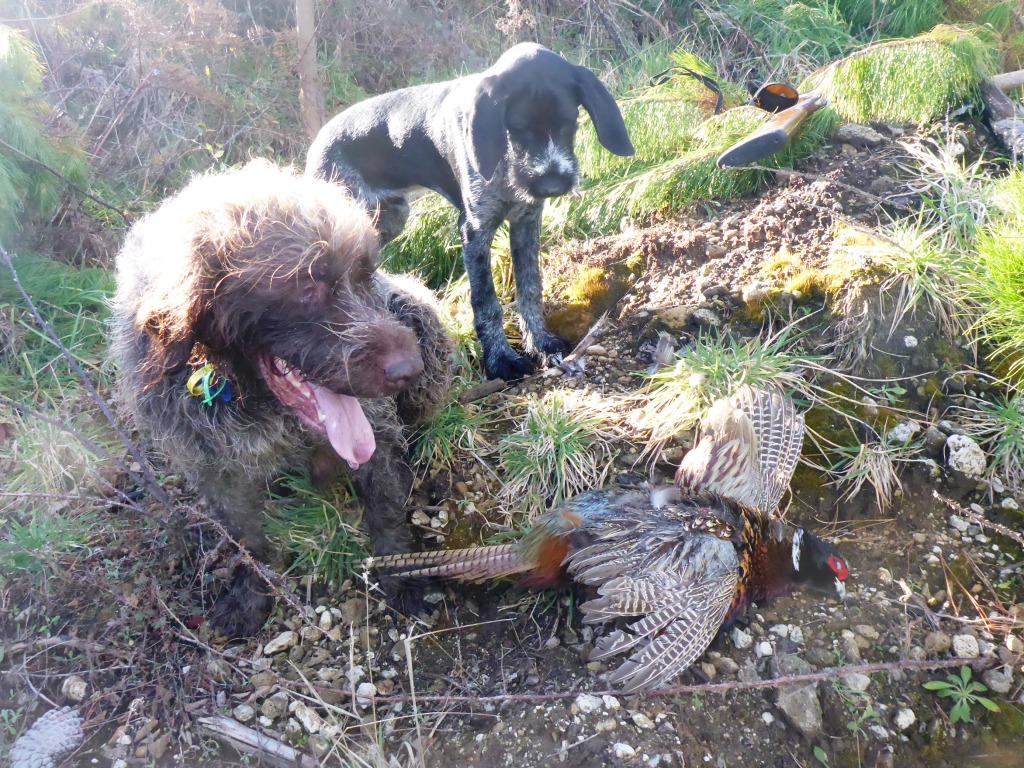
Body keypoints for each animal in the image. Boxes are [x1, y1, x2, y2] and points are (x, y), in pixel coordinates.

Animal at [109, 160, 456, 638]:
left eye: (365, 276)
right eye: (307, 287)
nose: (409, 368)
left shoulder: (377, 433)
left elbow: (385, 506)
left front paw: (402, 573)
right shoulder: (215, 469)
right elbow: (247, 540)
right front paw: (251, 594)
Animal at [307, 43, 634, 380]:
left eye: (570, 122)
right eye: (517, 128)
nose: (552, 183)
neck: (505, 161)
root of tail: (317, 141)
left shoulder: (526, 222)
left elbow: (530, 287)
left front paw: (541, 343)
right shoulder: (474, 229)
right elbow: (485, 300)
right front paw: (501, 359)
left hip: (391, 217)